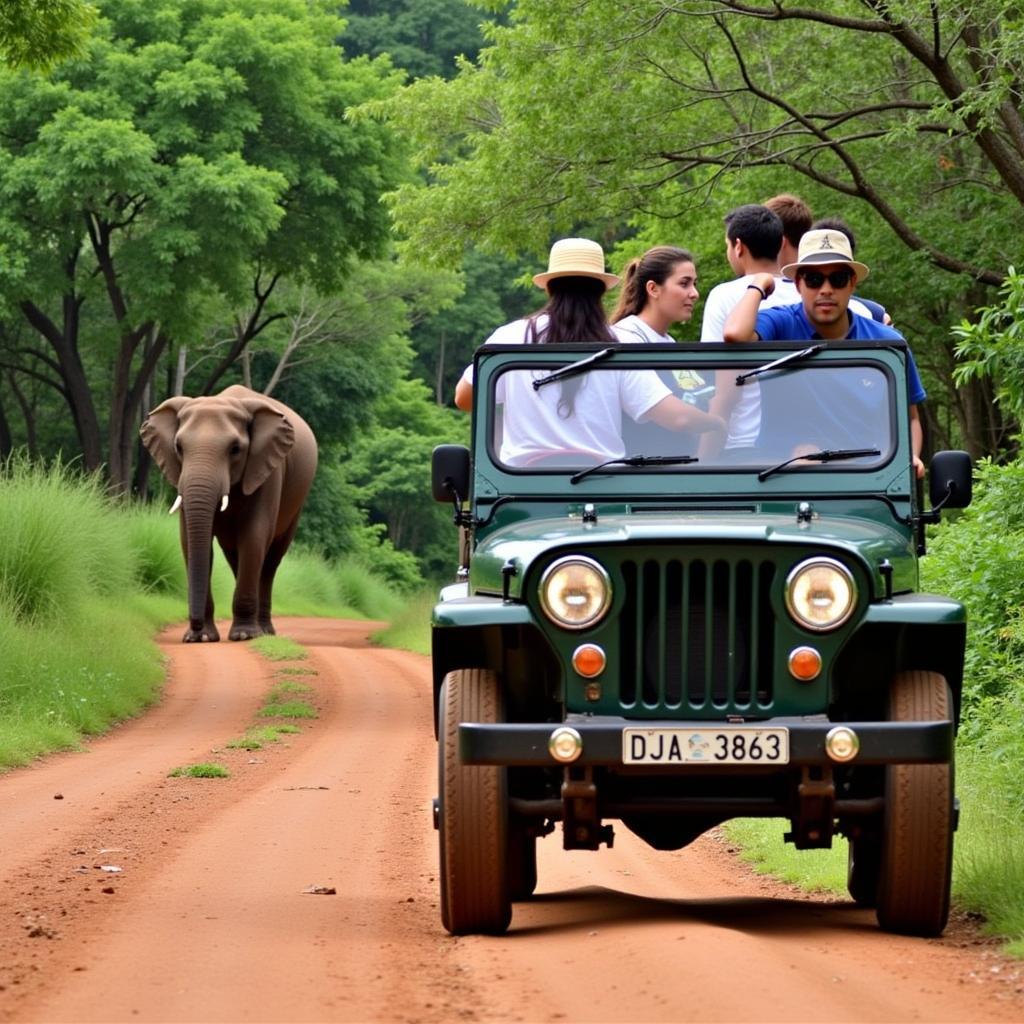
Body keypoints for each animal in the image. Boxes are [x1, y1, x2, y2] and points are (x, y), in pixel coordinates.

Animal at [140, 385, 315, 638]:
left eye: (235, 449)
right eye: (178, 448)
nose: (194, 626)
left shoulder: (268, 470)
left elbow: (254, 537)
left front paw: (244, 635)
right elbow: (189, 540)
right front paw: (201, 638)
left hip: (296, 505)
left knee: (270, 562)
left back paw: (264, 631)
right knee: (236, 557)